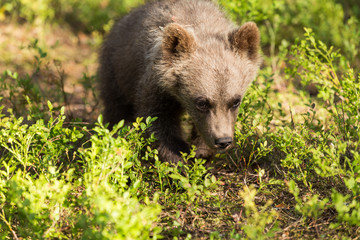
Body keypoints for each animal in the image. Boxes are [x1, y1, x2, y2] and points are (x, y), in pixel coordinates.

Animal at [98, 0, 262, 163]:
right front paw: (179, 158)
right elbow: (157, 119)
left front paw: (201, 151)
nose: (223, 141)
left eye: (235, 101)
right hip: (116, 73)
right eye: (202, 102)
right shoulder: (156, 84)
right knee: (116, 110)